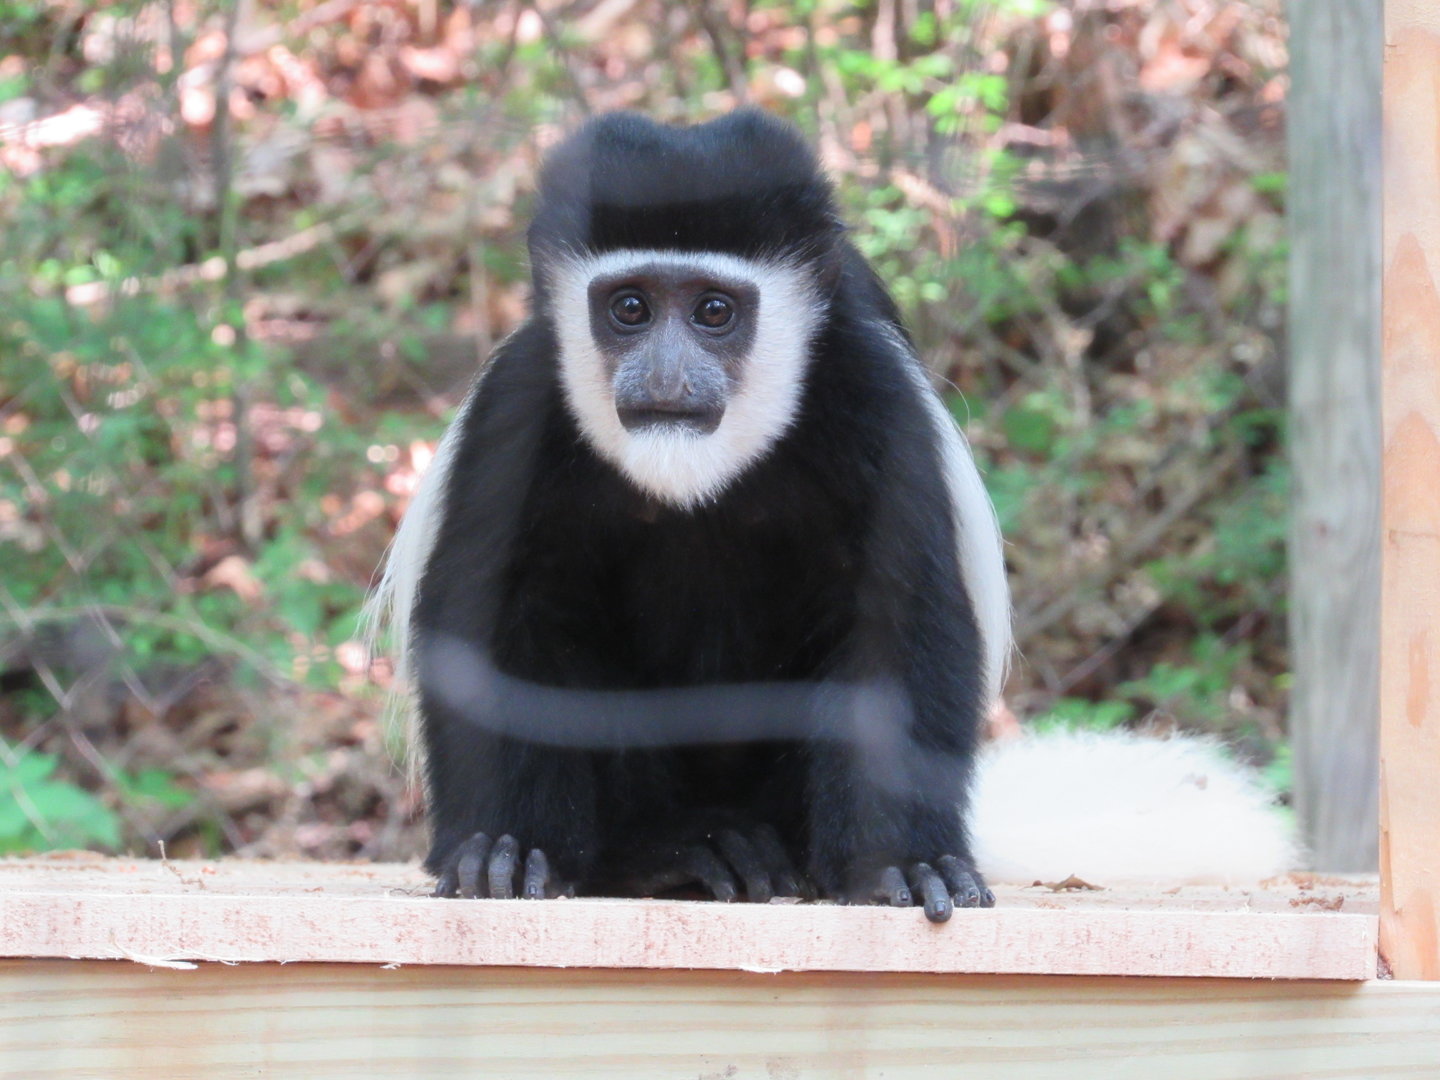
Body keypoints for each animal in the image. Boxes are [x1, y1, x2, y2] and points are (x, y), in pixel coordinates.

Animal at [368, 109, 1012, 923]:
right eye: (630, 308)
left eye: (714, 310)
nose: (667, 378)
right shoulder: (511, 414)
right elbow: (501, 626)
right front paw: (506, 855)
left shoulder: (880, 405)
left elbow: (898, 627)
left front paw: (902, 864)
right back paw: (676, 854)